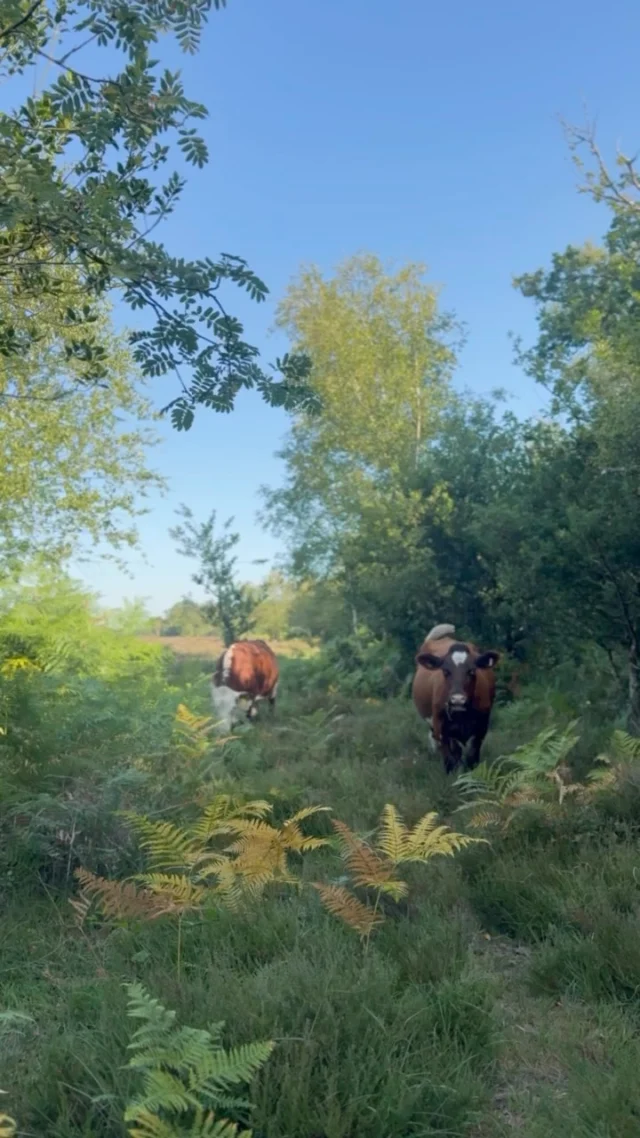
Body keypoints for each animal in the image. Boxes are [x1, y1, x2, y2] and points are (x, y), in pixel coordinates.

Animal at [412, 623, 500, 774]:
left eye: (471, 671)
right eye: (445, 671)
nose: (457, 699)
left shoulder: (481, 728)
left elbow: (472, 758)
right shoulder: (440, 728)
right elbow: (449, 761)